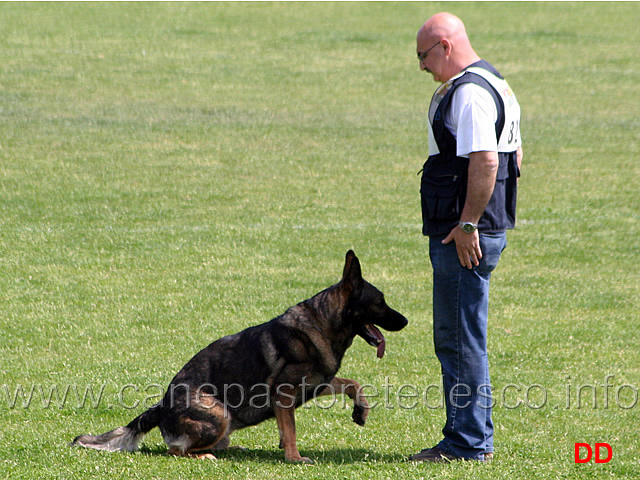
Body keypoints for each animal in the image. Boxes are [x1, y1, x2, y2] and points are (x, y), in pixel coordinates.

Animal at [72, 249, 408, 464]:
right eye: (380, 302)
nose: (406, 321)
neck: (324, 322)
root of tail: (161, 405)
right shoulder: (285, 392)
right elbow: (291, 430)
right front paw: (294, 458)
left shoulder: (317, 382)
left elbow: (353, 383)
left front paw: (360, 411)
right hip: (219, 413)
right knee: (176, 451)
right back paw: (206, 455)